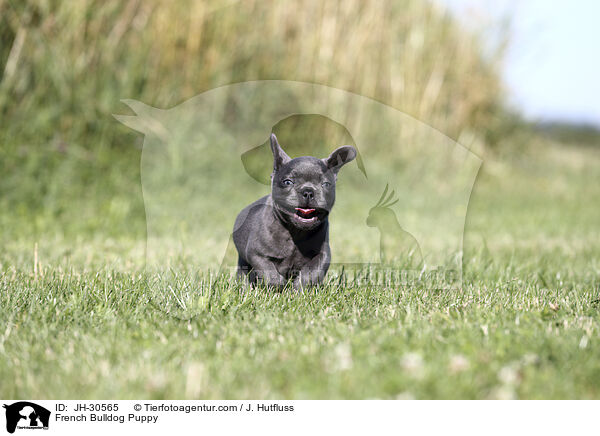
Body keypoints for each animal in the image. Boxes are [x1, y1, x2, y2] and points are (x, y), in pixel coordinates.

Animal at [232, 134, 356, 290]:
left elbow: (312, 272)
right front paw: (278, 286)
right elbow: (268, 271)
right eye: (288, 182)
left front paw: (300, 288)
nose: (308, 192)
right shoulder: (257, 254)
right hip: (243, 261)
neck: (296, 231)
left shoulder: (322, 255)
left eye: (326, 184)